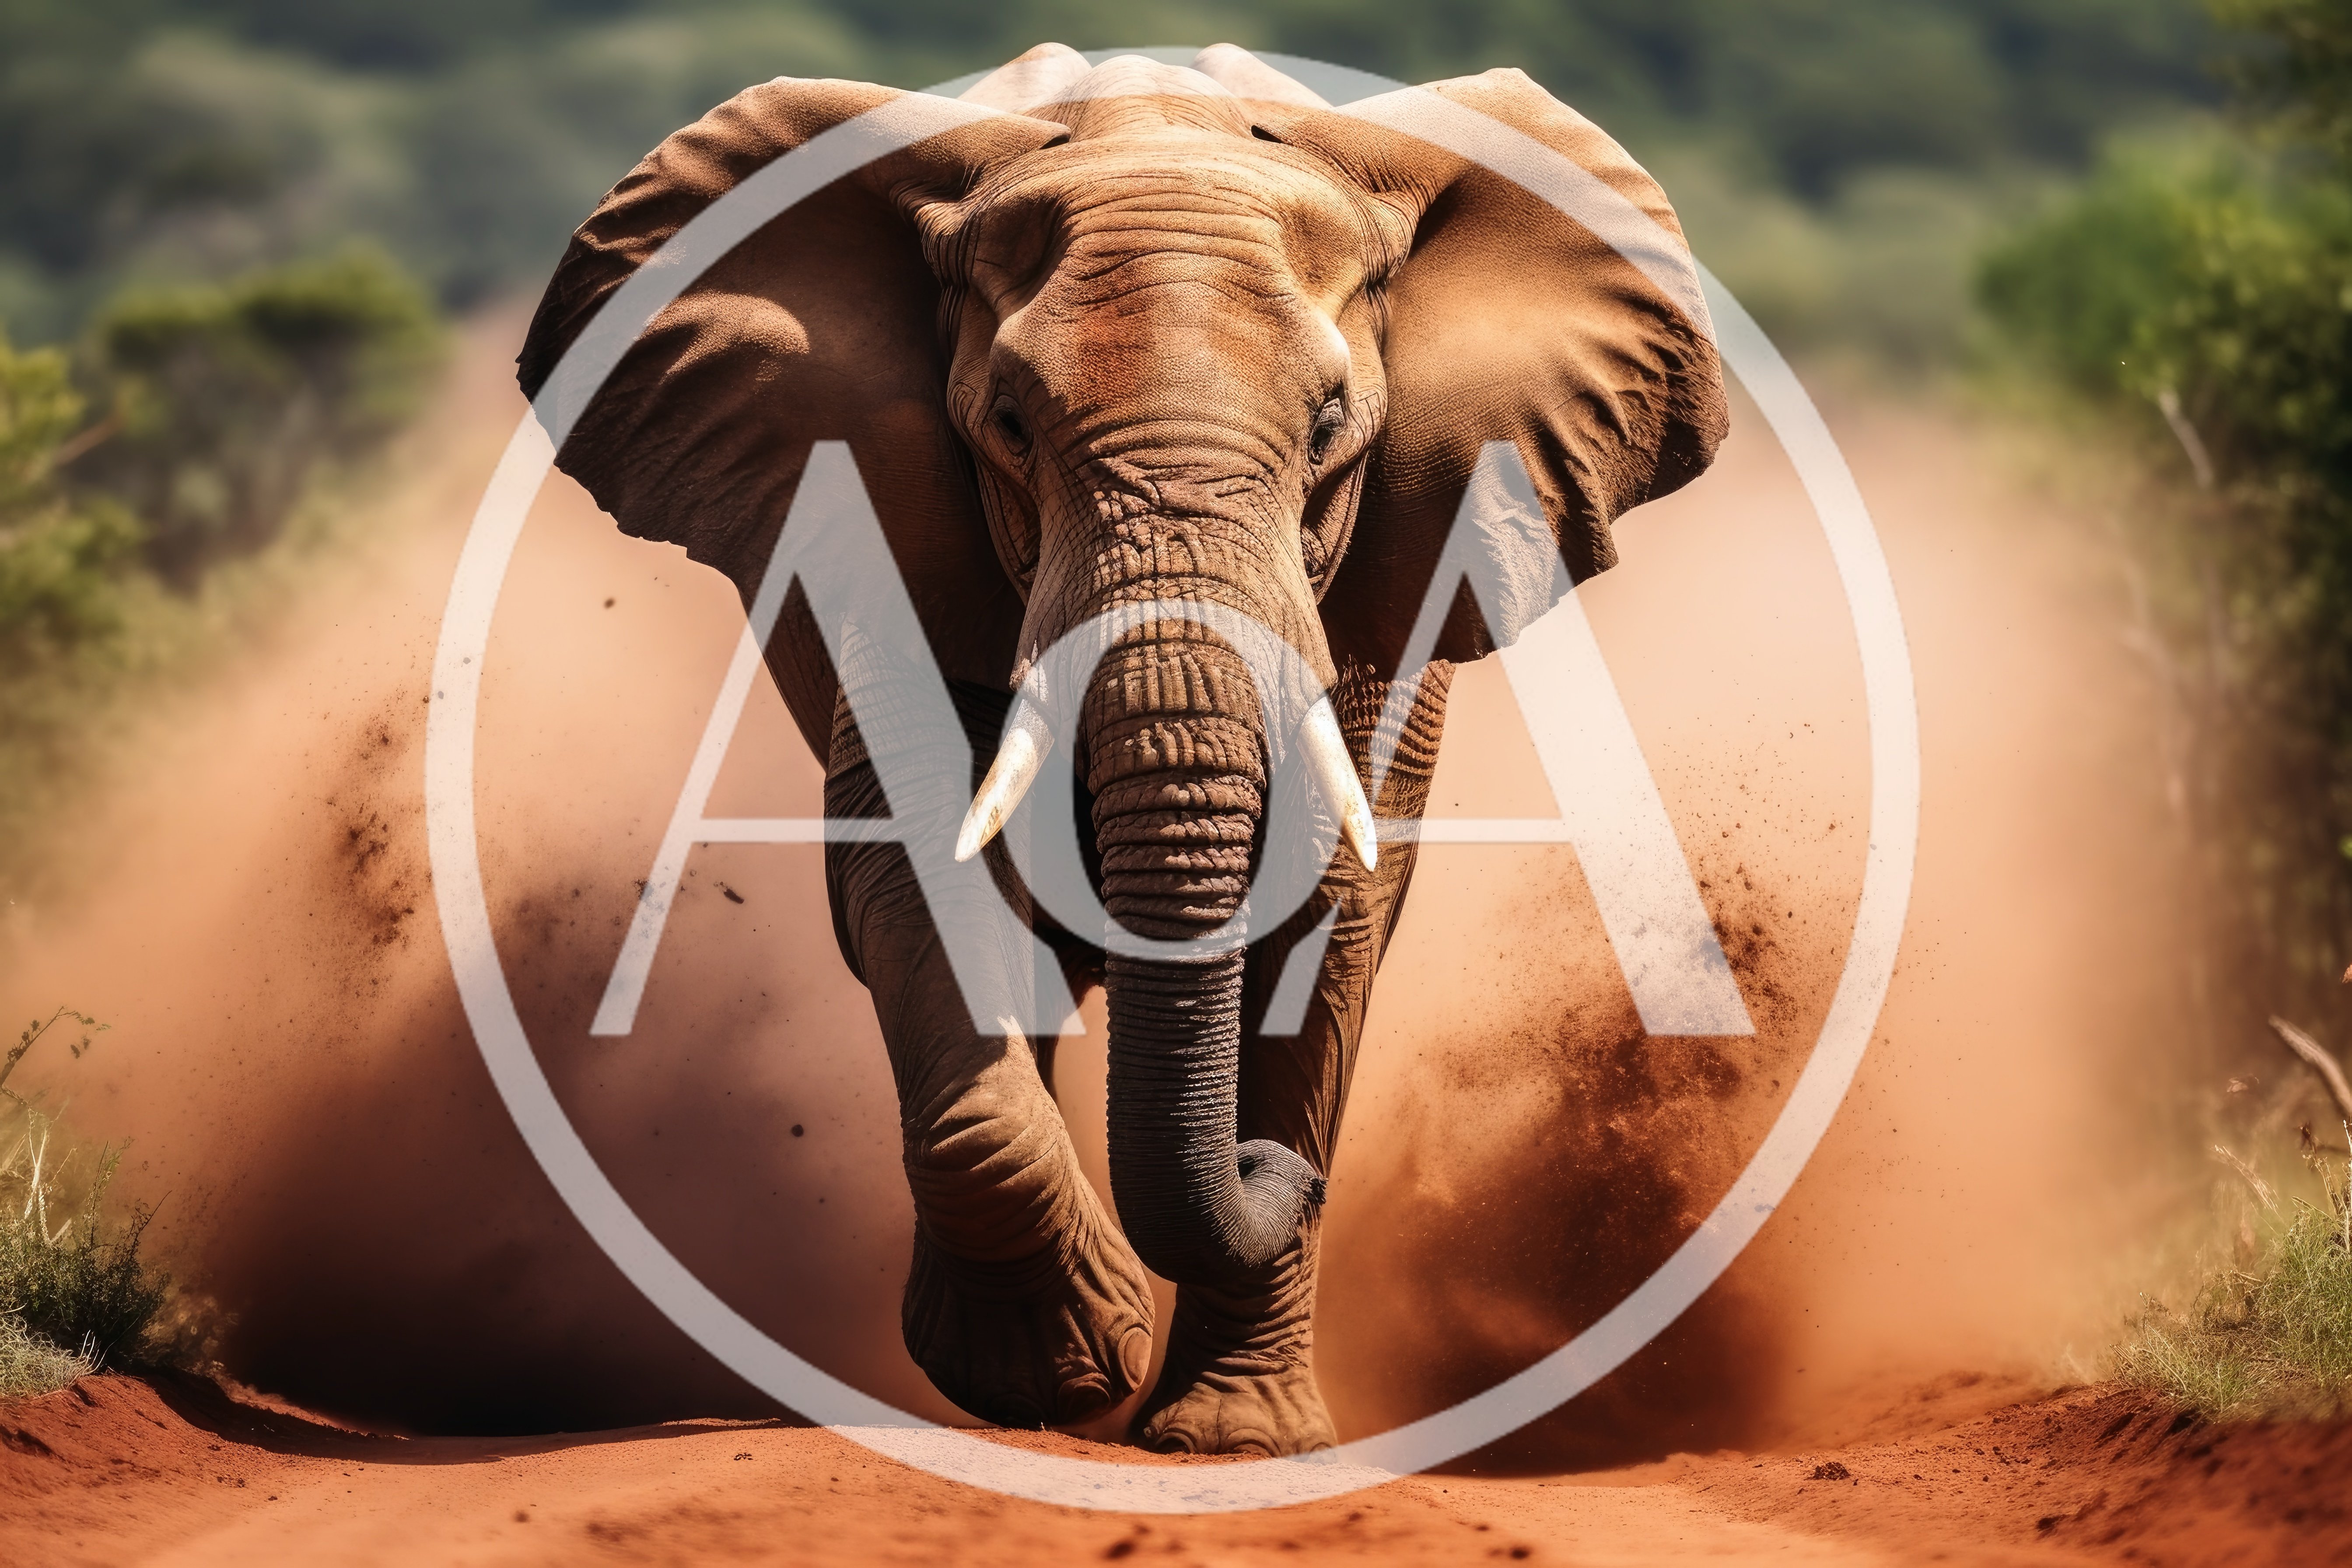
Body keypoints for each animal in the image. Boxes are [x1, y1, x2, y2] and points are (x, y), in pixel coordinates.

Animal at [515, 42, 1725, 1456]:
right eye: (1008, 427)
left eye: (1332, 430)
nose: (1278, 1172)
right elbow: (918, 874)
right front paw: (1065, 1368)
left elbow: (1324, 914)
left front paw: (1234, 1445)